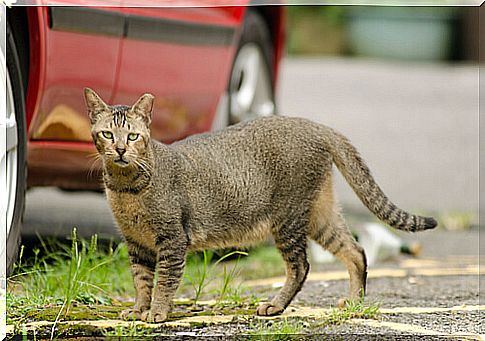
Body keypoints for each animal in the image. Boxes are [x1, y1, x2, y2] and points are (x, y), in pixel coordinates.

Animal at [85, 87, 436, 322]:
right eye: (107, 134)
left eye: (133, 136)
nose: (119, 150)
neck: (126, 188)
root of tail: (317, 126)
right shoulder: (136, 244)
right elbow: (141, 281)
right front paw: (138, 310)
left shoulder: (172, 239)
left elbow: (165, 282)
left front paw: (156, 313)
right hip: (319, 215)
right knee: (356, 251)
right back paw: (354, 304)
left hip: (288, 218)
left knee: (301, 266)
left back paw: (276, 305)